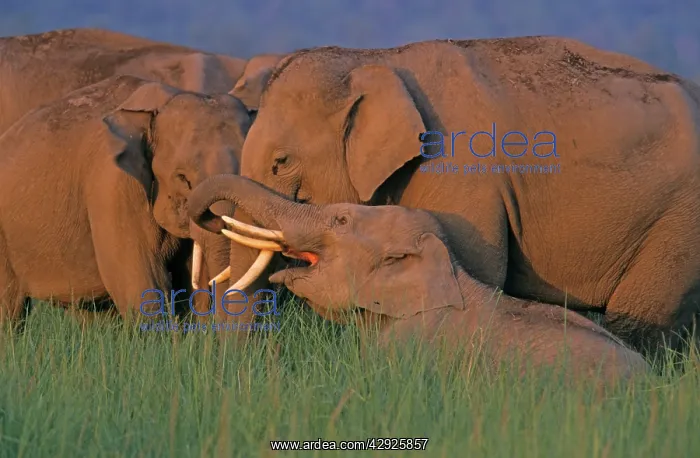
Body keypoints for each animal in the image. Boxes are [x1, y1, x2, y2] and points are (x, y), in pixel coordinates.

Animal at [229, 36, 700, 357]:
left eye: (281, 162)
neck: (376, 58)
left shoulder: (457, 171)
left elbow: (475, 271)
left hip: (680, 222)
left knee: (644, 322)